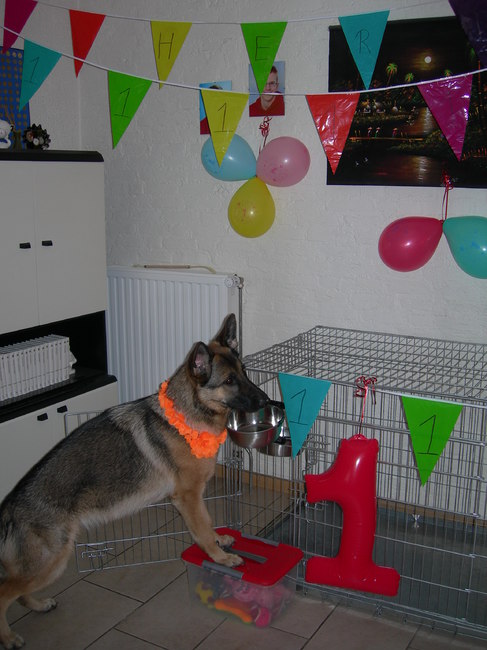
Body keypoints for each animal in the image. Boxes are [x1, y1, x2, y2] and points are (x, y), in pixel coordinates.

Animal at [0, 313, 268, 648]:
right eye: (229, 381)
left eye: (244, 372)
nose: (267, 400)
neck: (189, 413)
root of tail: (11, 504)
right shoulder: (187, 497)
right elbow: (202, 531)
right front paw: (220, 557)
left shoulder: (196, 497)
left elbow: (207, 522)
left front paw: (220, 541)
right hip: (51, 561)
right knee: (3, 593)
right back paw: (9, 636)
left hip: (44, 565)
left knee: (18, 593)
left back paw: (38, 605)